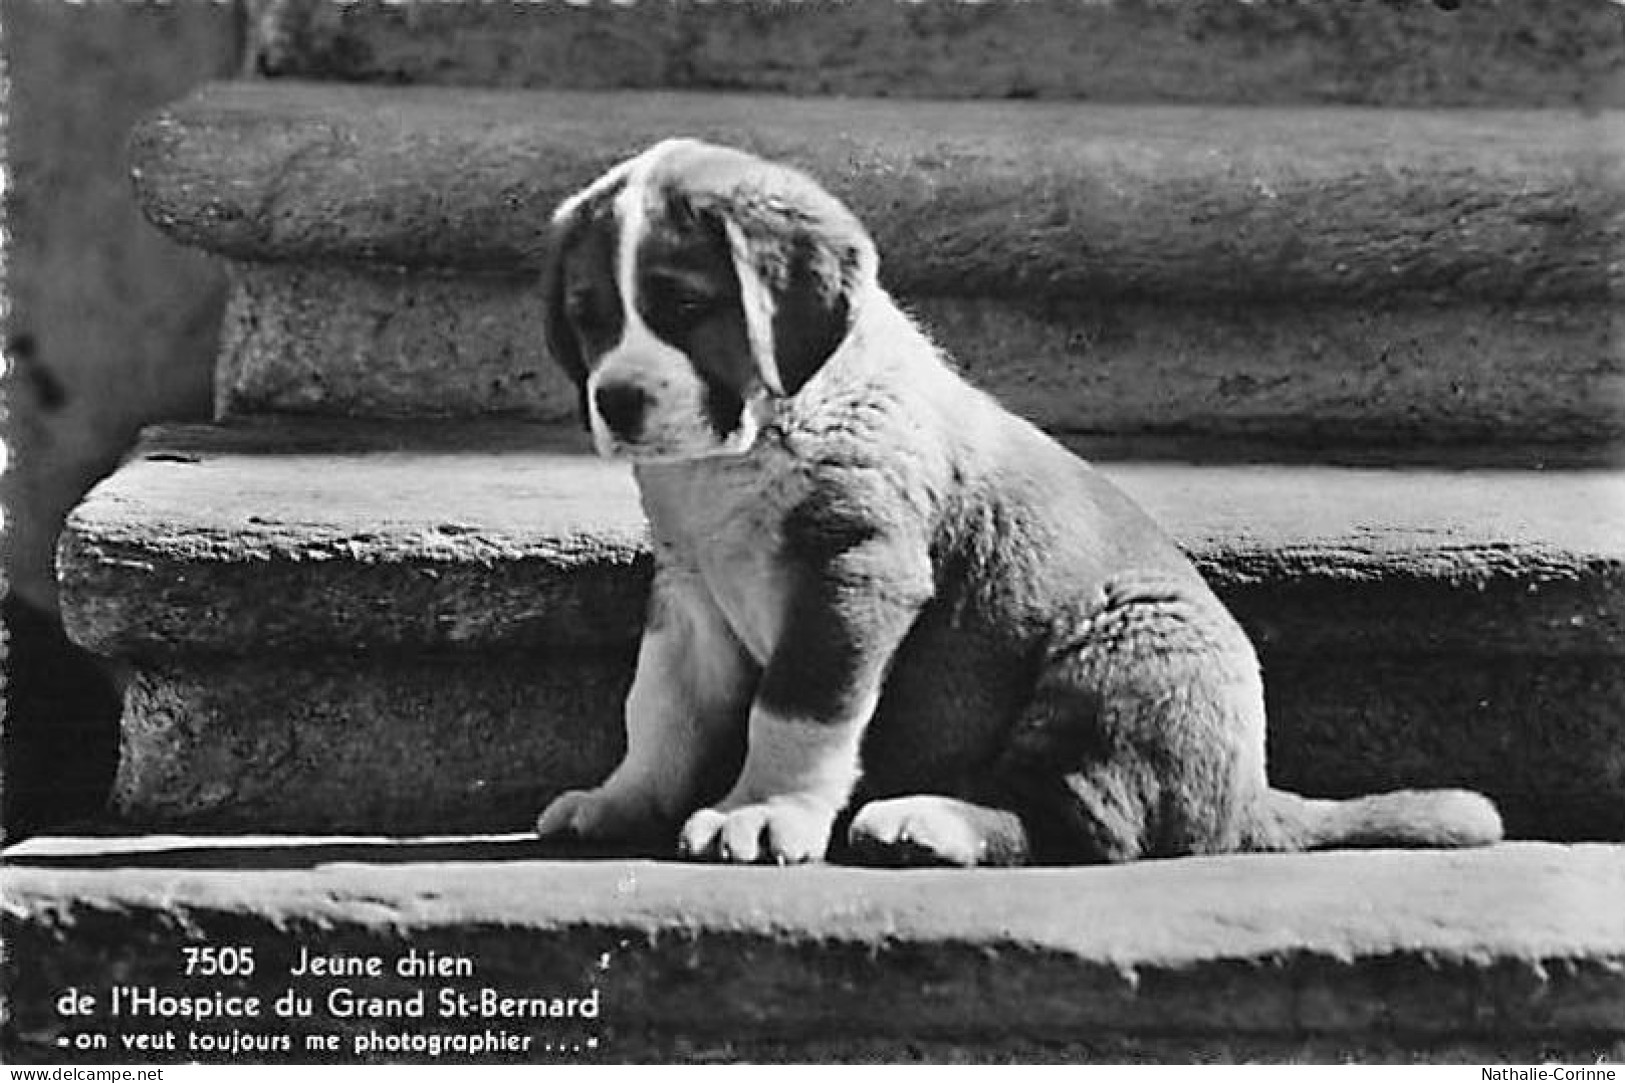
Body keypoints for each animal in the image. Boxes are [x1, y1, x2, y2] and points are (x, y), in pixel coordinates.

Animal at [536, 134, 1508, 865]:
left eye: (684, 306)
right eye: (588, 316)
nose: (617, 400)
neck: (753, 438)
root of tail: (1247, 797)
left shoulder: (851, 574)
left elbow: (796, 710)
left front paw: (763, 809)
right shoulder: (689, 595)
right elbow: (660, 709)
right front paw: (625, 799)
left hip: (1113, 654)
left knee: (1086, 824)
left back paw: (928, 821)